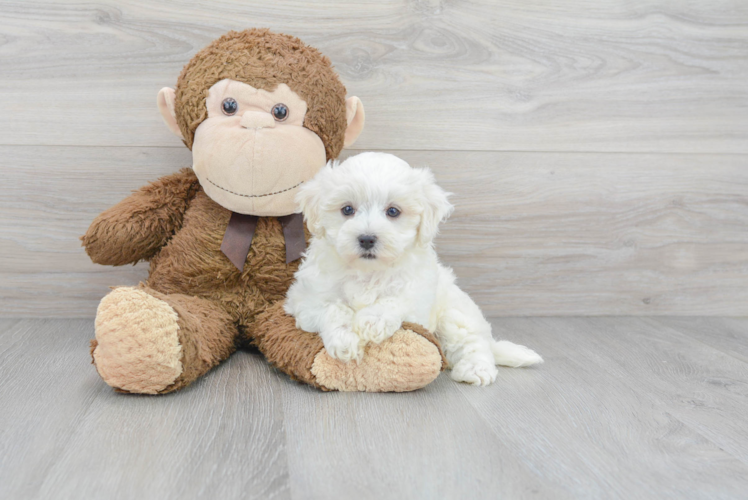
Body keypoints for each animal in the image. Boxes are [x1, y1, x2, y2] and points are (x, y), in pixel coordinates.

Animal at [284, 152, 540, 386]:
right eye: (347, 209)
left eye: (393, 211)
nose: (367, 238)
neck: (368, 271)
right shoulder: (306, 299)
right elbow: (333, 309)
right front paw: (345, 339)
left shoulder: (418, 298)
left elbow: (397, 299)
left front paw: (373, 320)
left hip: (454, 312)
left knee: (473, 341)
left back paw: (475, 369)